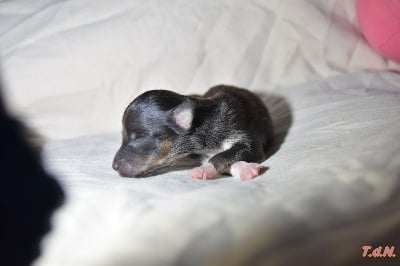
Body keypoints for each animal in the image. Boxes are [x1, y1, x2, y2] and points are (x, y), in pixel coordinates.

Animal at [114, 85, 274, 181]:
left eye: (140, 138)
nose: (114, 167)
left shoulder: (246, 139)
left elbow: (224, 155)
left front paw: (205, 170)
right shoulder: (197, 154)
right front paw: (244, 168)